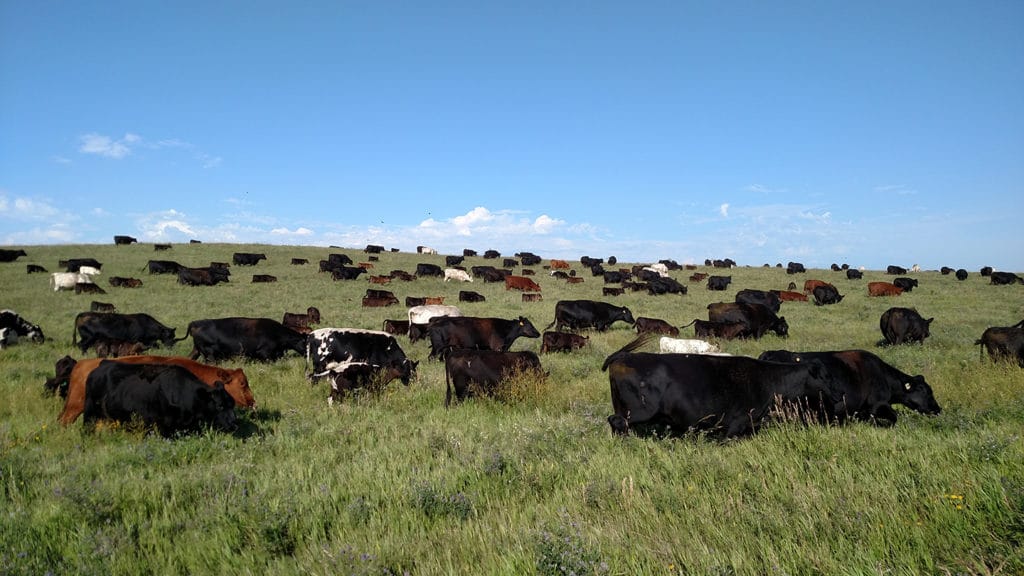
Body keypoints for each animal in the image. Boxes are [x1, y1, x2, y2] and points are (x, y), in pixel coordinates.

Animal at [602, 336, 835, 434]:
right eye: (823, 378)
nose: (836, 394)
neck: (767, 379)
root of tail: (623, 357)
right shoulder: (735, 424)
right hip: (636, 411)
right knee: (616, 422)